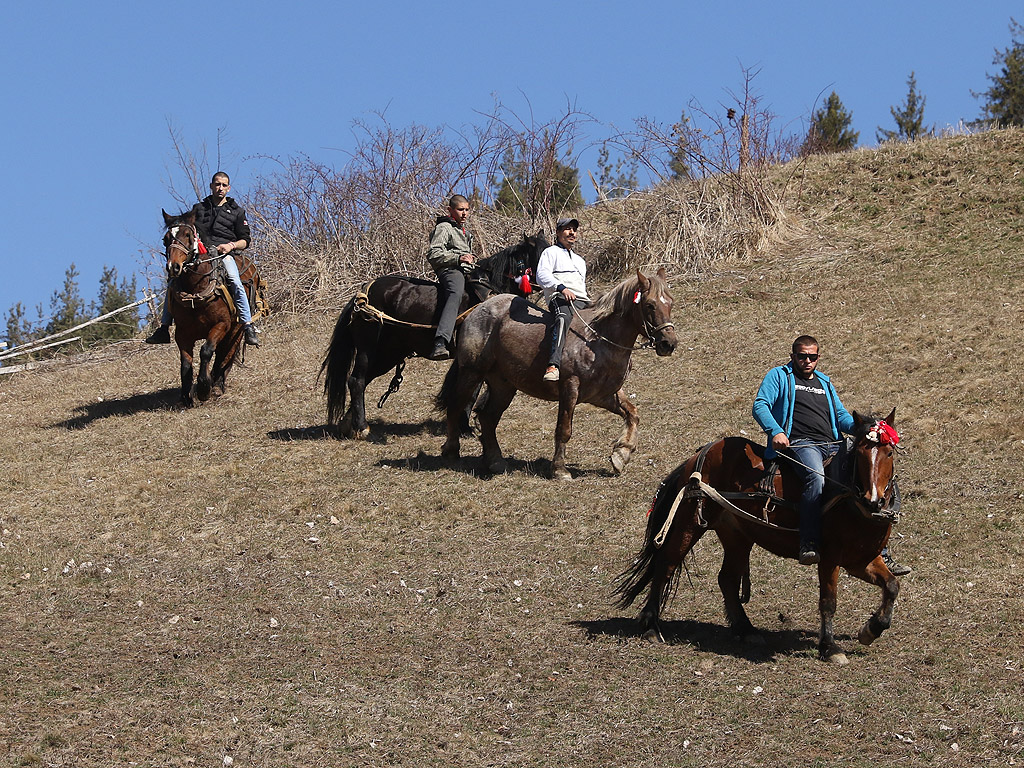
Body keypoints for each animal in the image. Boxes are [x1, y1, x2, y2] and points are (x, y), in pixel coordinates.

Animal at [159, 207, 264, 405]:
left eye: (188, 235)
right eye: (165, 239)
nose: (173, 267)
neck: (196, 289)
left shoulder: (221, 325)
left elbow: (206, 351)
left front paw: (203, 388)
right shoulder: (182, 333)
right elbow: (185, 362)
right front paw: (186, 395)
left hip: (237, 328)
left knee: (226, 353)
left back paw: (217, 384)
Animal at [321, 231, 548, 438]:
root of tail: (361, 297)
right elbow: (470, 391)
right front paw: (465, 428)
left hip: (388, 354)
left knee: (362, 380)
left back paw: (349, 425)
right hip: (368, 350)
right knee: (357, 381)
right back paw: (361, 427)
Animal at [436, 268, 675, 479]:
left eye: (670, 303)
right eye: (650, 305)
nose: (668, 343)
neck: (598, 340)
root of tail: (476, 311)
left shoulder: (603, 395)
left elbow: (632, 414)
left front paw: (621, 454)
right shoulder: (570, 388)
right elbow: (564, 429)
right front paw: (560, 469)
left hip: (503, 386)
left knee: (487, 417)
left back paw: (495, 461)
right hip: (471, 373)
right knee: (455, 407)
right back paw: (451, 451)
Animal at [610, 409, 901, 667]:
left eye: (889, 452)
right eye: (861, 452)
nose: (874, 500)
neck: (849, 500)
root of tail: (702, 453)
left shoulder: (861, 560)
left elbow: (892, 586)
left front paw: (871, 629)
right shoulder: (829, 559)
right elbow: (828, 602)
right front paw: (830, 648)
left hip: (737, 536)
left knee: (726, 579)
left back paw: (745, 629)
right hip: (688, 524)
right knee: (666, 565)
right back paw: (651, 626)